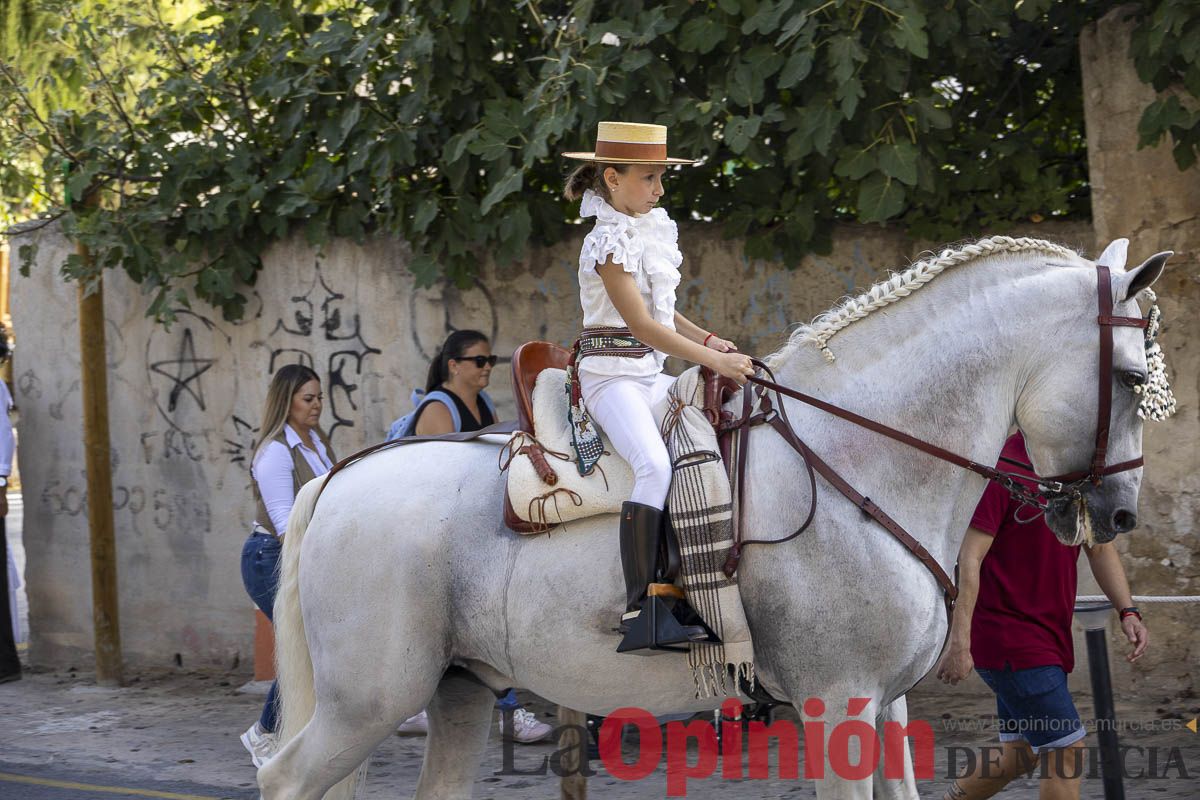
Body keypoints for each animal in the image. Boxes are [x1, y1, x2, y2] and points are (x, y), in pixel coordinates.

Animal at [259, 236, 1168, 799]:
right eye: (1131, 379)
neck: (861, 454)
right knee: (286, 777)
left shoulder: (887, 703)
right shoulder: (838, 702)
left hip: (458, 687)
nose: (1120, 514)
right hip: (370, 698)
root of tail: (339, 475)